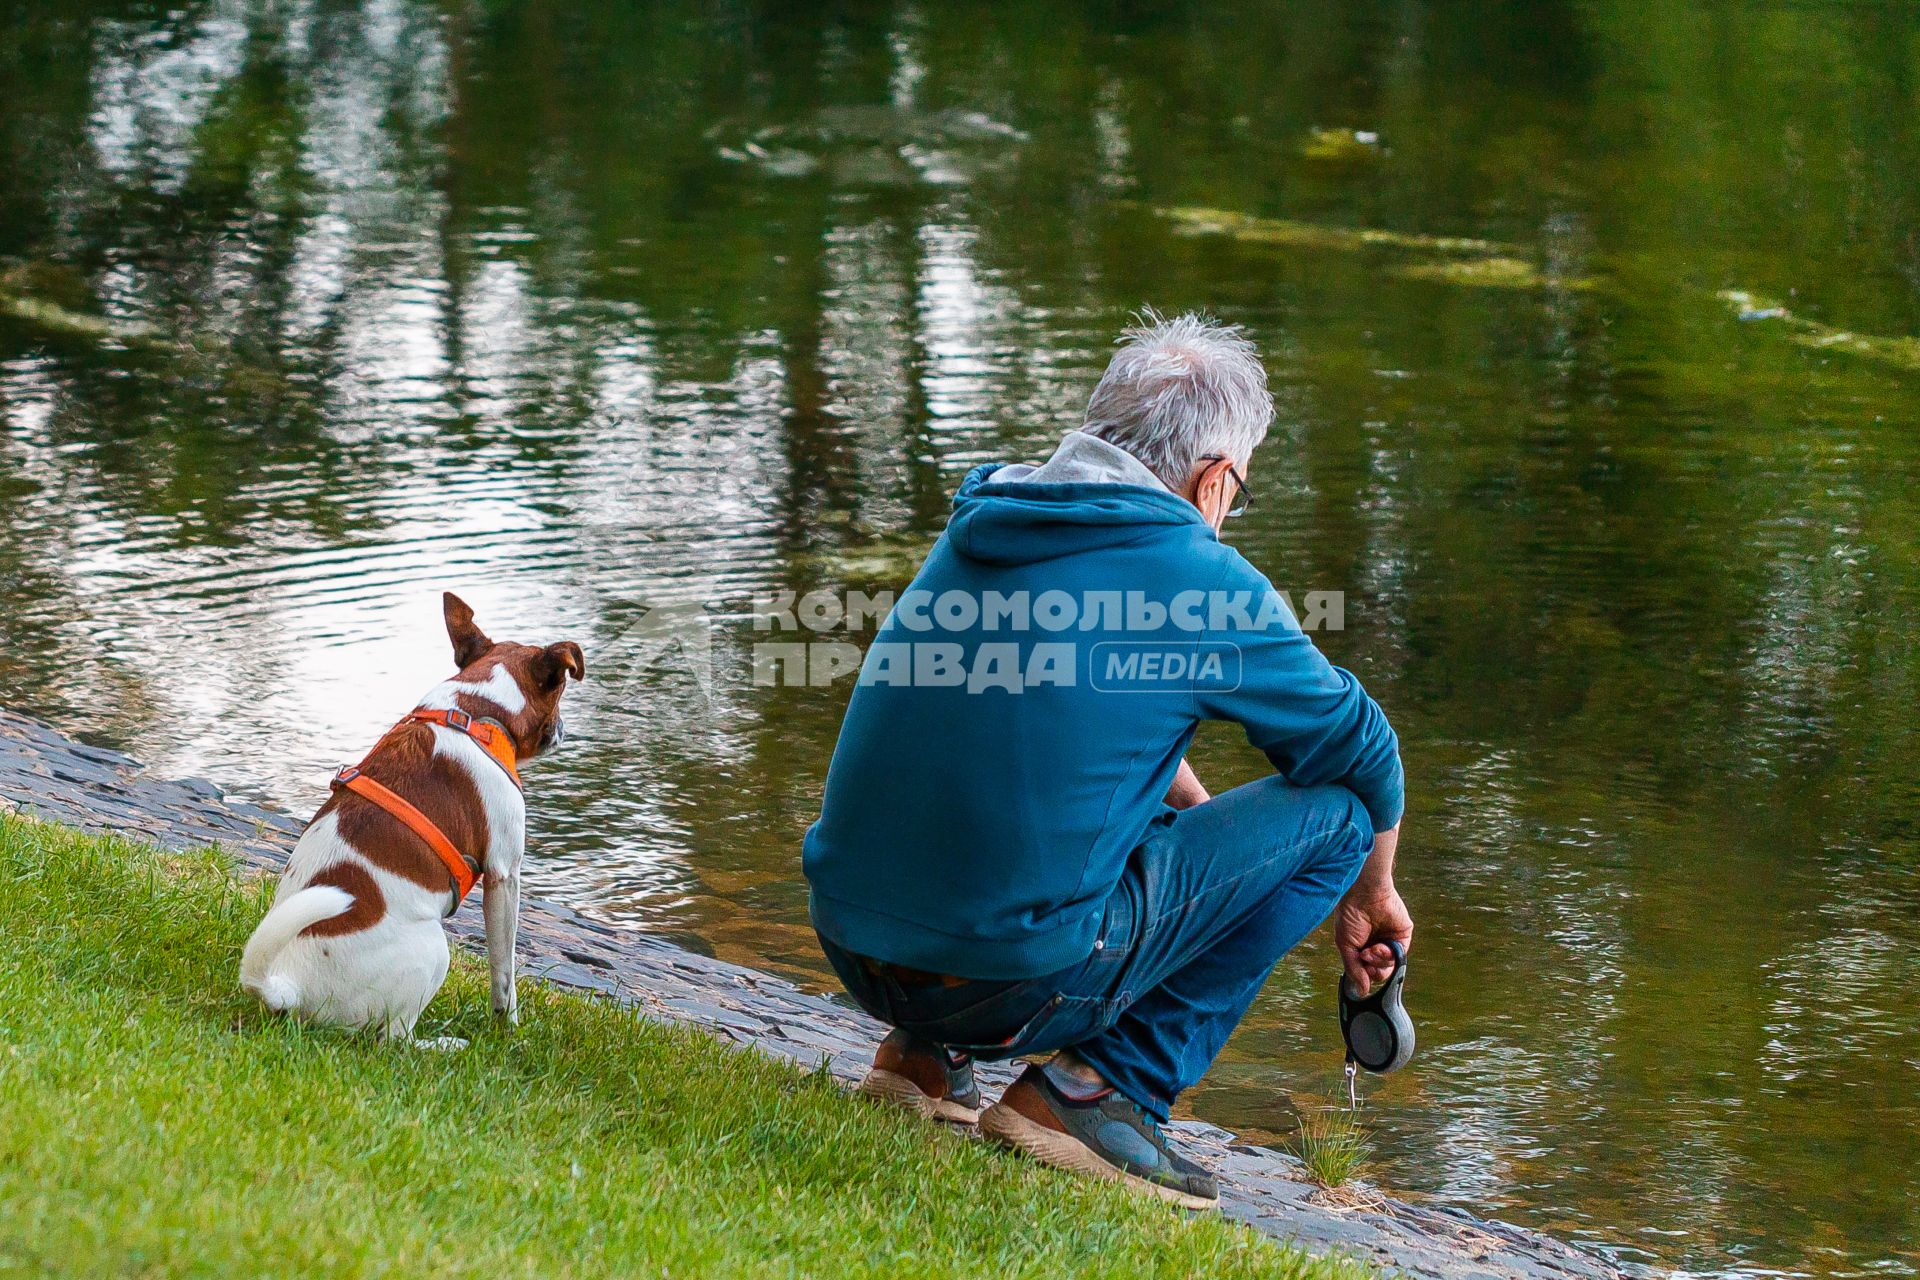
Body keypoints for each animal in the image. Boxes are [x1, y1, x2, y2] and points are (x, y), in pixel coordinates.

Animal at [240, 594, 583, 1043]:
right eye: (559, 694)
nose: (563, 730)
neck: (476, 709)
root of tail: (288, 988)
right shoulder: (504, 875)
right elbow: (503, 973)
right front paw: (508, 1029)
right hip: (434, 948)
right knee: (394, 1039)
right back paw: (443, 1043)